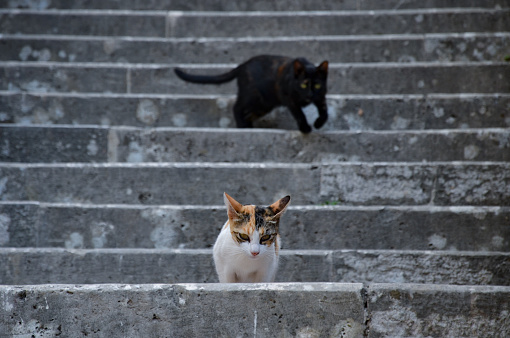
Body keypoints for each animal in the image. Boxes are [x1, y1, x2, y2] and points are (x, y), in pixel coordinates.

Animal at [173, 54, 328, 133]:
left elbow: (324, 112)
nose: (310, 95)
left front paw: (319, 123)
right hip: (251, 96)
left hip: (264, 104)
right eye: (303, 85)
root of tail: (243, 65)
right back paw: (242, 126)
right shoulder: (290, 100)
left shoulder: (321, 97)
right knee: (236, 107)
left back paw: (248, 126)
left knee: (249, 114)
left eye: (317, 85)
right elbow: (300, 115)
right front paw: (305, 128)